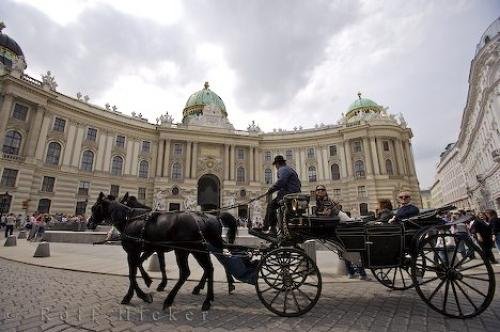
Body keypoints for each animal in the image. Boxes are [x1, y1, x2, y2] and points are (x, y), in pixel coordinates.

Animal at [88, 192, 238, 312]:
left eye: (94, 208)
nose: (89, 223)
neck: (131, 219)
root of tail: (211, 217)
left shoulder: (135, 251)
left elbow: (133, 272)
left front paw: (144, 294)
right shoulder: (151, 249)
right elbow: (149, 266)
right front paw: (147, 285)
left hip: (186, 250)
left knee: (190, 271)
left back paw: (173, 300)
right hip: (196, 249)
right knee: (209, 267)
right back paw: (208, 295)